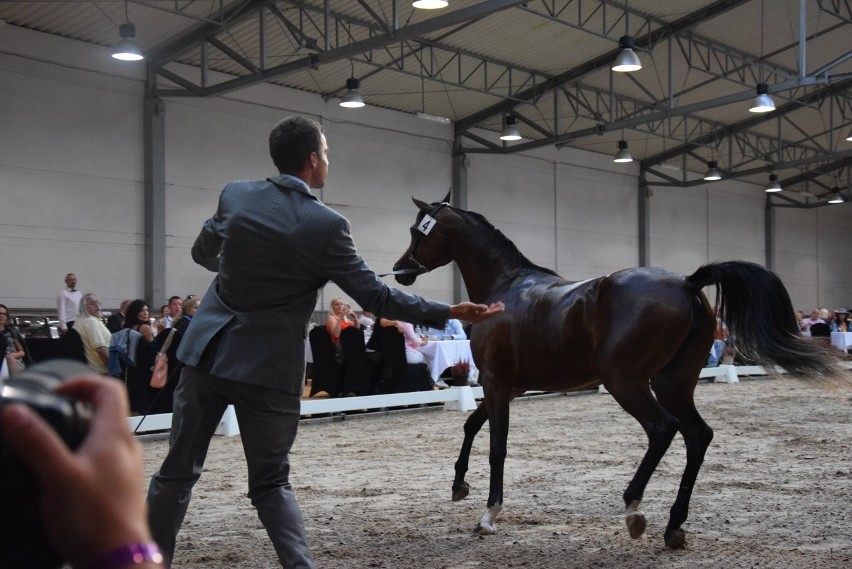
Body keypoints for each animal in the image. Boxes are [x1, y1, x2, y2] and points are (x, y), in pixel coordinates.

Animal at [392, 196, 844, 544]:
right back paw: (673, 527)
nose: (400, 271)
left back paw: (634, 510)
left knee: (663, 429)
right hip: (673, 382)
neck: (506, 288)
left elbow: (496, 447)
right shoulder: (505, 386)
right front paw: (458, 486)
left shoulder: (498, 383)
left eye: (418, 231)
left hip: (626, 382)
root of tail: (688, 283)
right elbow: (471, 426)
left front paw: (488, 516)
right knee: (698, 434)